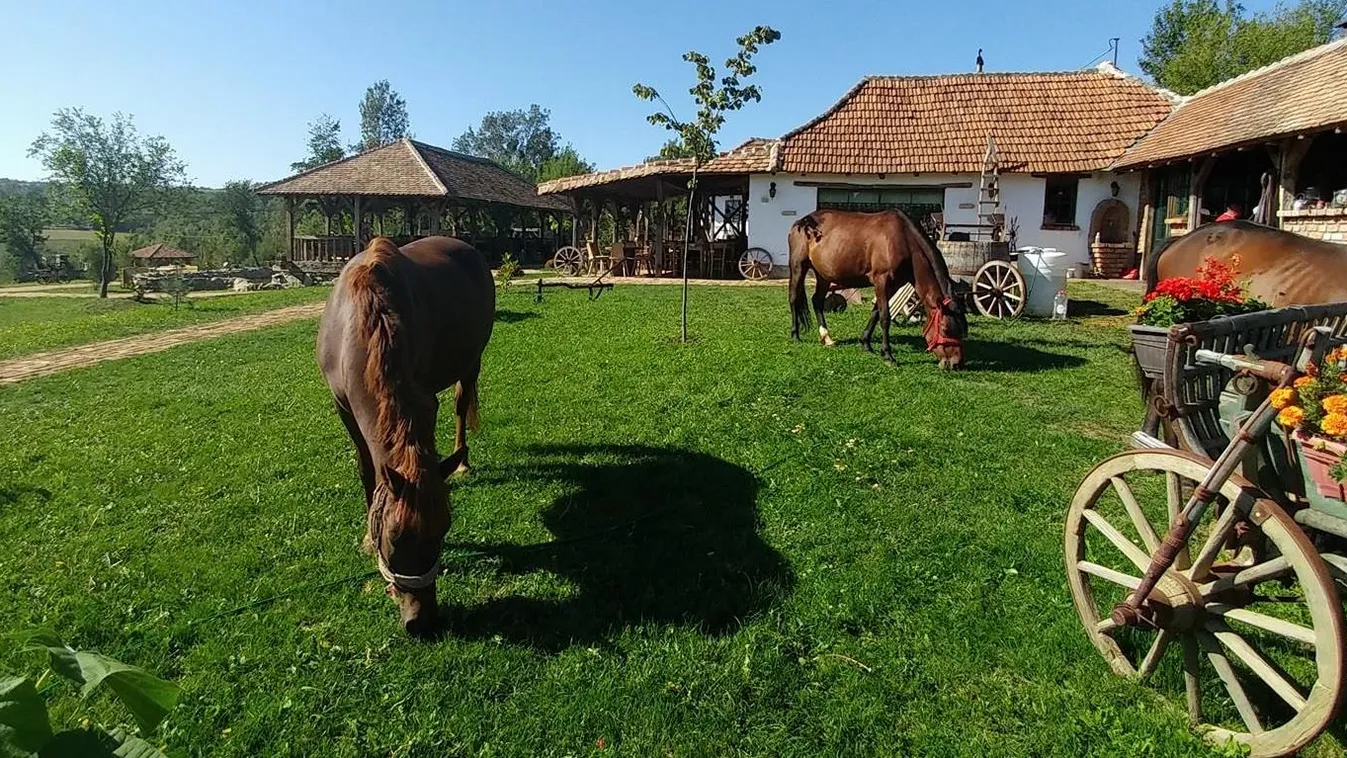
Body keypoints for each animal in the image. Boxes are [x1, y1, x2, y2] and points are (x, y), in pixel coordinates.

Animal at [315, 234, 495, 638]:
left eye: (444, 531)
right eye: (394, 538)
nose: (422, 622)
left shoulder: (424, 403)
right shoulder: (343, 409)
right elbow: (367, 469)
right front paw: (367, 538)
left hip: (471, 361)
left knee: (462, 403)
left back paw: (462, 461)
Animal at [786, 210, 969, 371]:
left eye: (963, 331)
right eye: (945, 329)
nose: (956, 364)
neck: (903, 239)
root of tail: (800, 222)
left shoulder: (893, 285)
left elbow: (875, 313)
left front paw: (866, 343)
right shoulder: (881, 280)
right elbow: (884, 317)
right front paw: (888, 355)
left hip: (824, 274)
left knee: (817, 300)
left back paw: (826, 337)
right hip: (798, 267)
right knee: (794, 298)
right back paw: (795, 335)